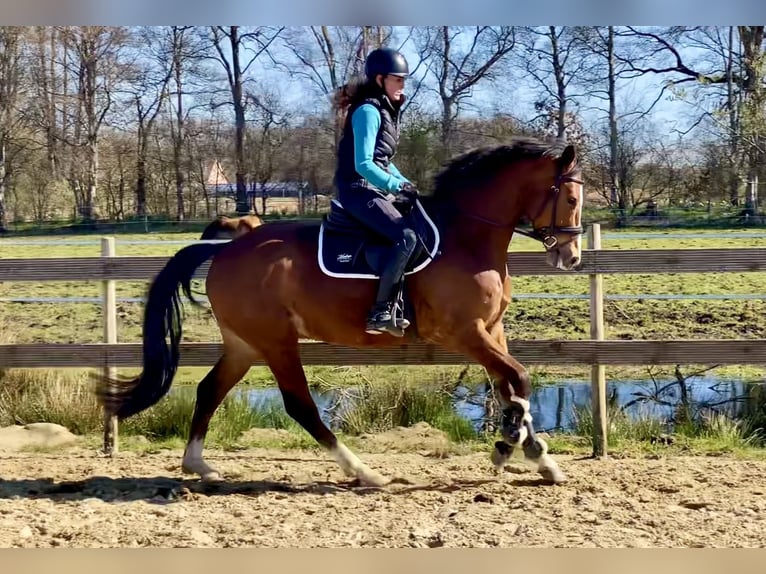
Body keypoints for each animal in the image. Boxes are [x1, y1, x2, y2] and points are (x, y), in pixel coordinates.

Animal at [95, 136, 585, 487]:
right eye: (572, 199)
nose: (572, 257)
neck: (466, 237)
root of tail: (231, 245)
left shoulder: (491, 330)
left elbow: (512, 388)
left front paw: (533, 454)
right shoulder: (462, 332)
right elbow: (519, 379)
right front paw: (512, 444)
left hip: (245, 344)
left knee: (209, 390)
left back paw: (198, 465)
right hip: (276, 342)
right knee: (300, 406)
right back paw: (363, 472)